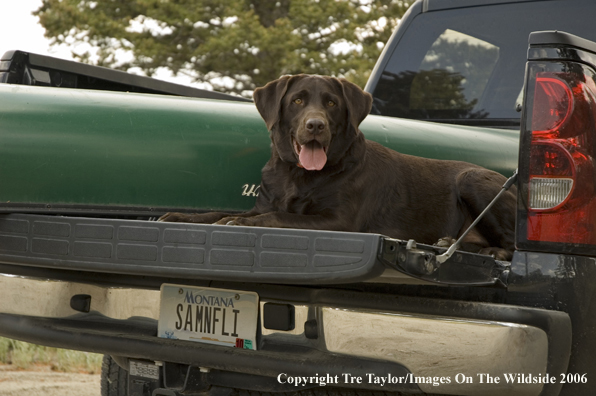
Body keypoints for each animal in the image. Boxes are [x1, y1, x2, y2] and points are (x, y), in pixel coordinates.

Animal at [159, 74, 516, 262]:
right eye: (297, 101)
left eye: (331, 103)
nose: (315, 125)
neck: (297, 175)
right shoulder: (263, 203)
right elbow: (213, 214)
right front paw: (178, 216)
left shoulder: (339, 222)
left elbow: (279, 218)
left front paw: (239, 223)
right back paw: (449, 243)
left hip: (474, 180)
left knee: (513, 246)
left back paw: (489, 251)